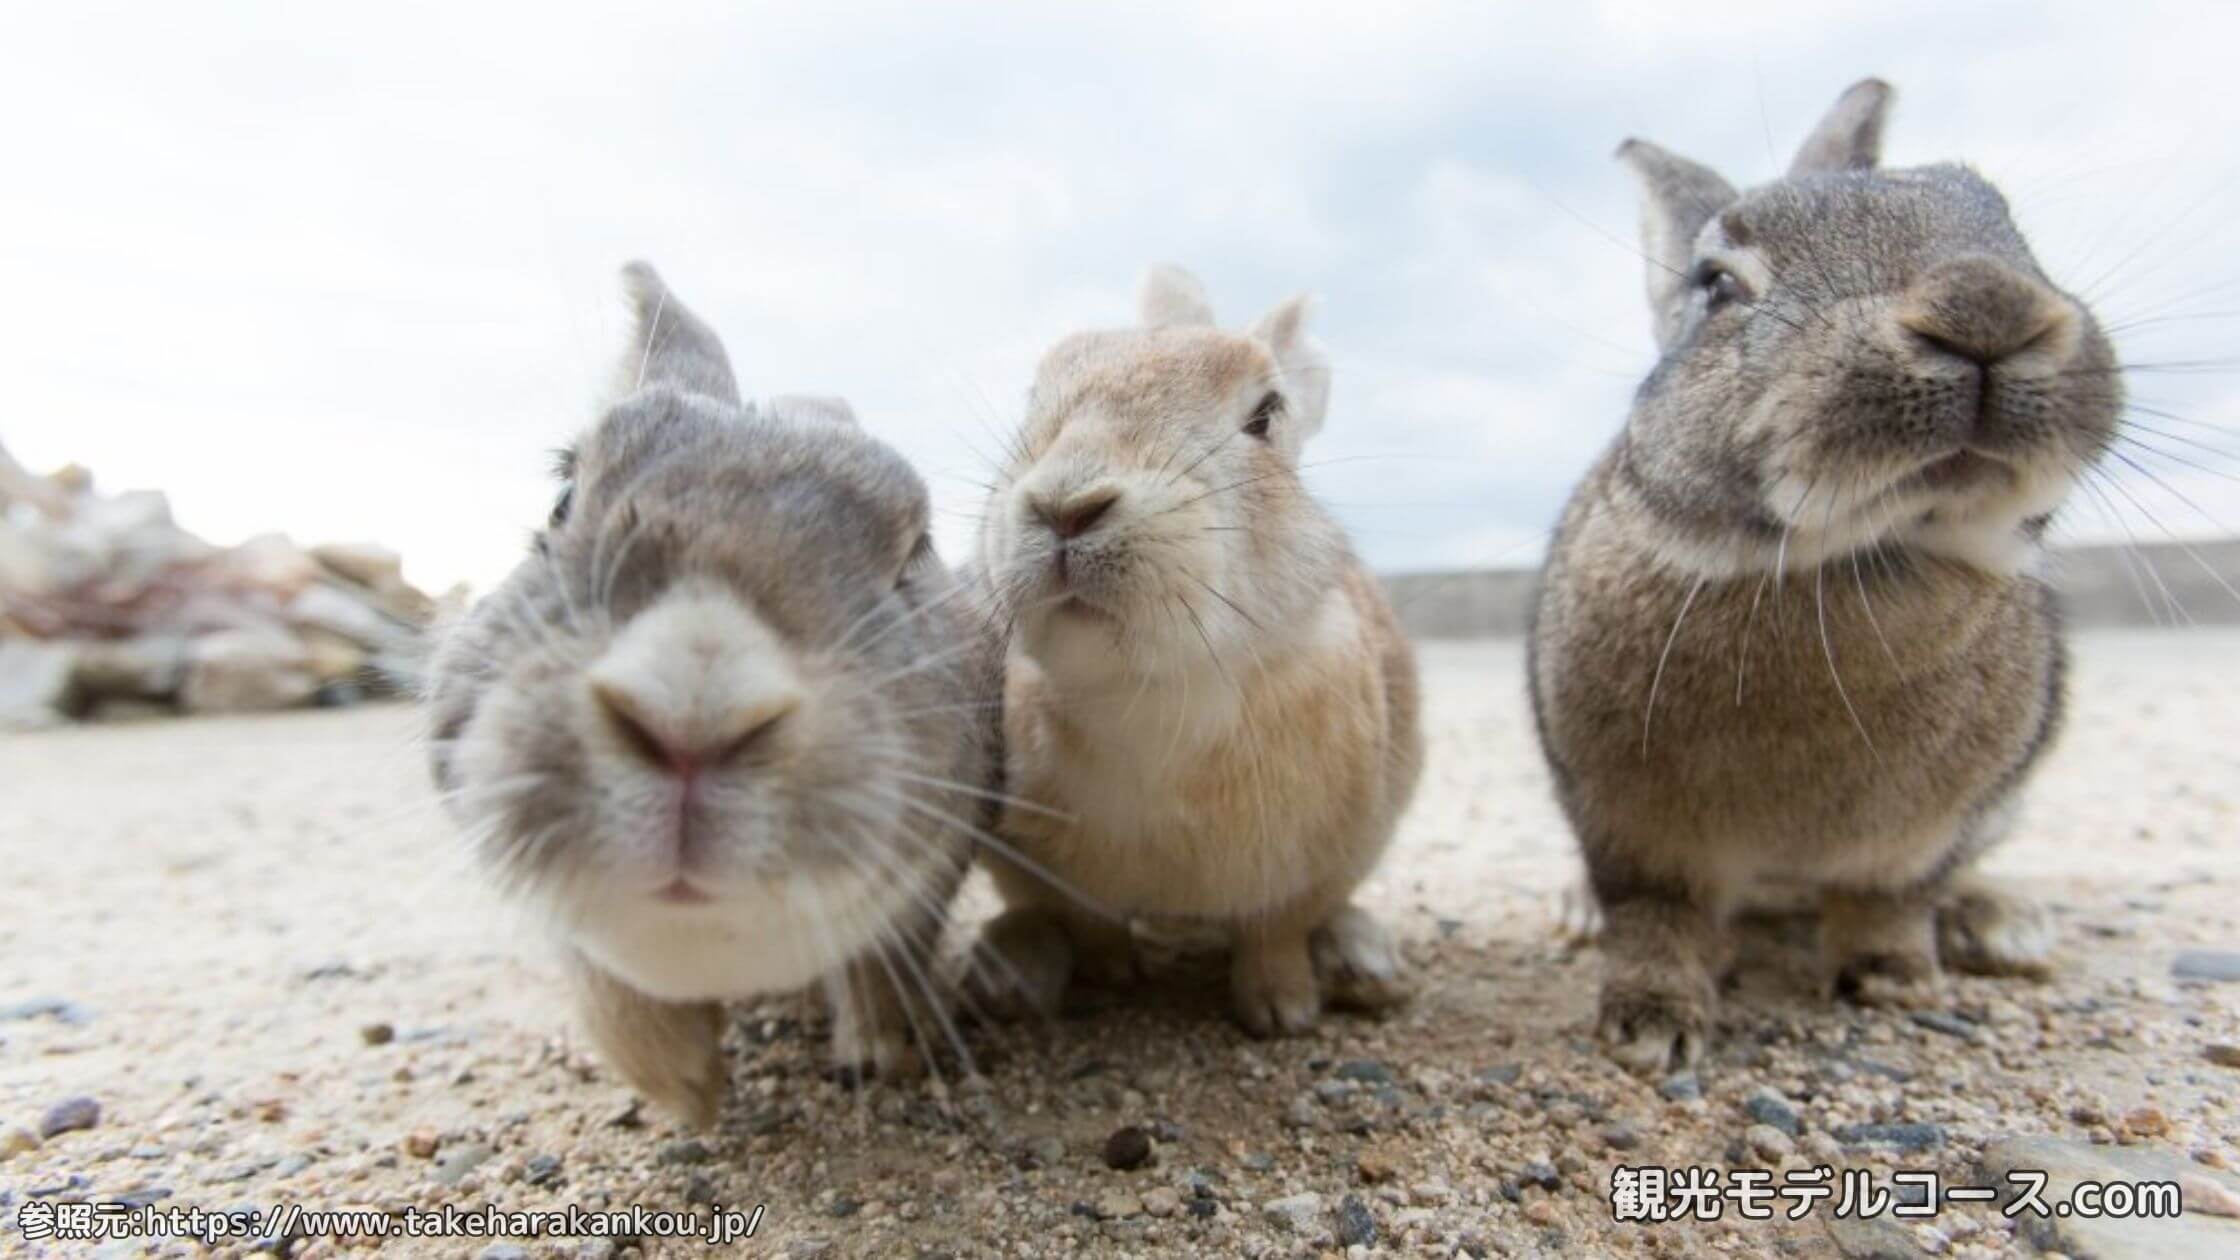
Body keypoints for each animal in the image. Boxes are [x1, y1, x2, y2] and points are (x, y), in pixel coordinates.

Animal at [963, 262, 1415, 1031]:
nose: (1066, 507)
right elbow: (1090, 924)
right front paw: (1112, 975)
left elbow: (1276, 933)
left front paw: (1282, 1012)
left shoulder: (1307, 865)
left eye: (1266, 415)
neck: (1151, 692)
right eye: (1036, 394)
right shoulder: (1052, 871)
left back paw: (1366, 966)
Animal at [1523, 80, 2114, 1067]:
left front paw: (1893, 983)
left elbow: (1888, 900)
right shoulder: (1632, 827)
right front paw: (1650, 1025)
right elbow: (1657, 915)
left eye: (2004, 221)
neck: (1854, 560)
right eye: (1716, 284)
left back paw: (2000, 923)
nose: (1986, 309)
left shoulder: (1920, 838)